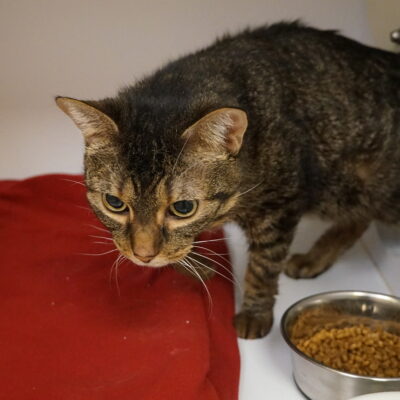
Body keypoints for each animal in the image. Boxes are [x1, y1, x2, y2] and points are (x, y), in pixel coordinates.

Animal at [56, 21, 400, 340]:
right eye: (114, 203)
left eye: (183, 208)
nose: (143, 256)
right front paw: (196, 265)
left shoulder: (280, 205)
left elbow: (263, 266)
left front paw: (254, 312)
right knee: (358, 220)